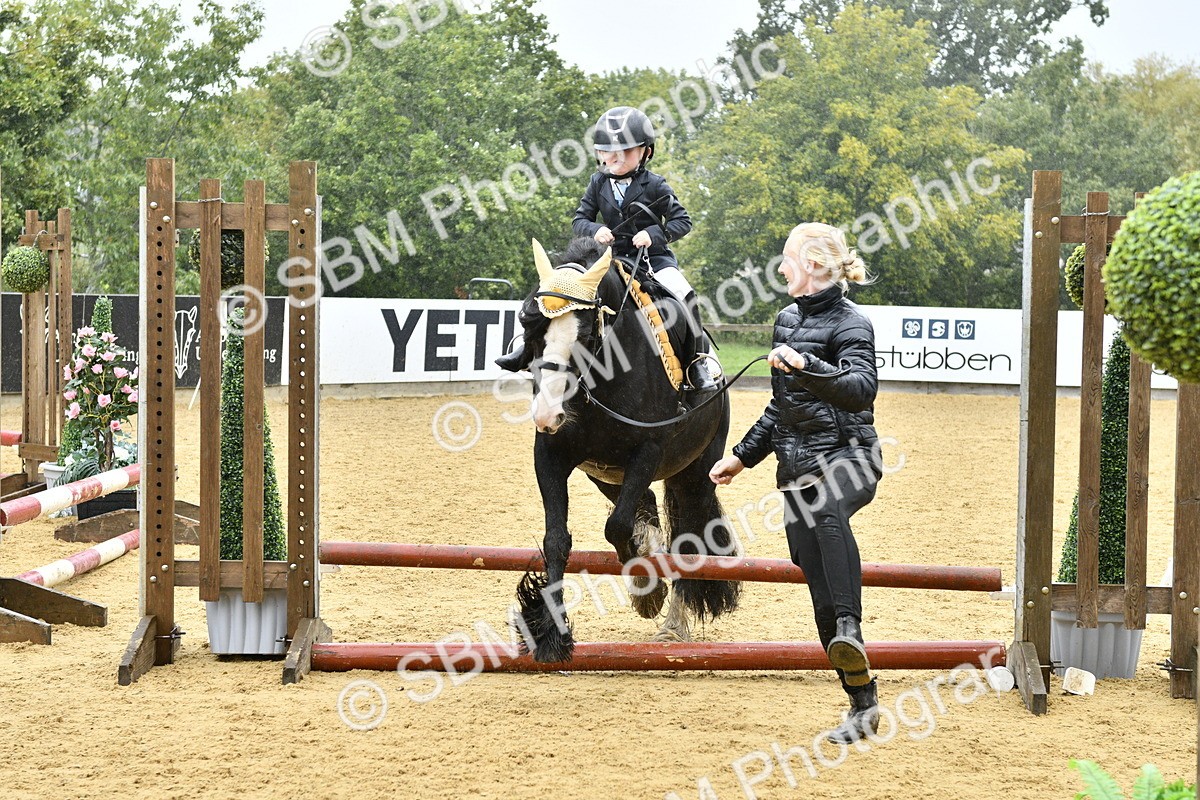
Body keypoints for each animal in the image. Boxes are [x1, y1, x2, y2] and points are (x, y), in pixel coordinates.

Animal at [500, 236, 742, 663]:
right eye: (535, 329)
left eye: (584, 336)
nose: (547, 413)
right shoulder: (550, 455)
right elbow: (557, 540)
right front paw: (550, 634)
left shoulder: (648, 450)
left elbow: (616, 527)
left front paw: (648, 589)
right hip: (609, 477)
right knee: (645, 510)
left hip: (695, 476)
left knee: (685, 539)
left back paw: (672, 626)